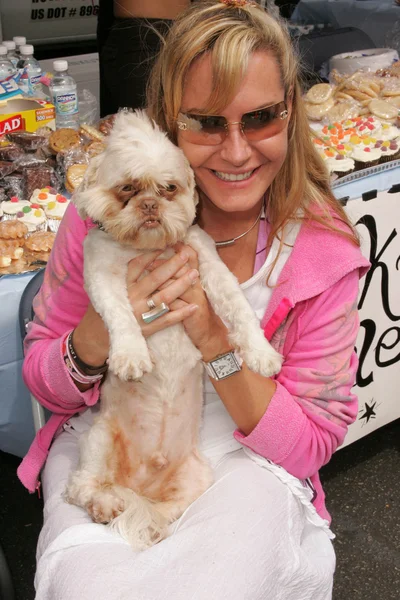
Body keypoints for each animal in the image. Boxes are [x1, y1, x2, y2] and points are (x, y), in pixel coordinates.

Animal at [65, 110, 282, 552]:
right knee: (83, 486)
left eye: (169, 188)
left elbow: (238, 309)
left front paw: (261, 353)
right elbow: (120, 314)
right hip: (97, 440)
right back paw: (105, 504)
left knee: (166, 510)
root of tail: (139, 486)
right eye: (127, 188)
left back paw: (153, 523)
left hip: (196, 478)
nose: (149, 204)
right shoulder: (102, 276)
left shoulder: (209, 267)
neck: (149, 249)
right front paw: (131, 356)